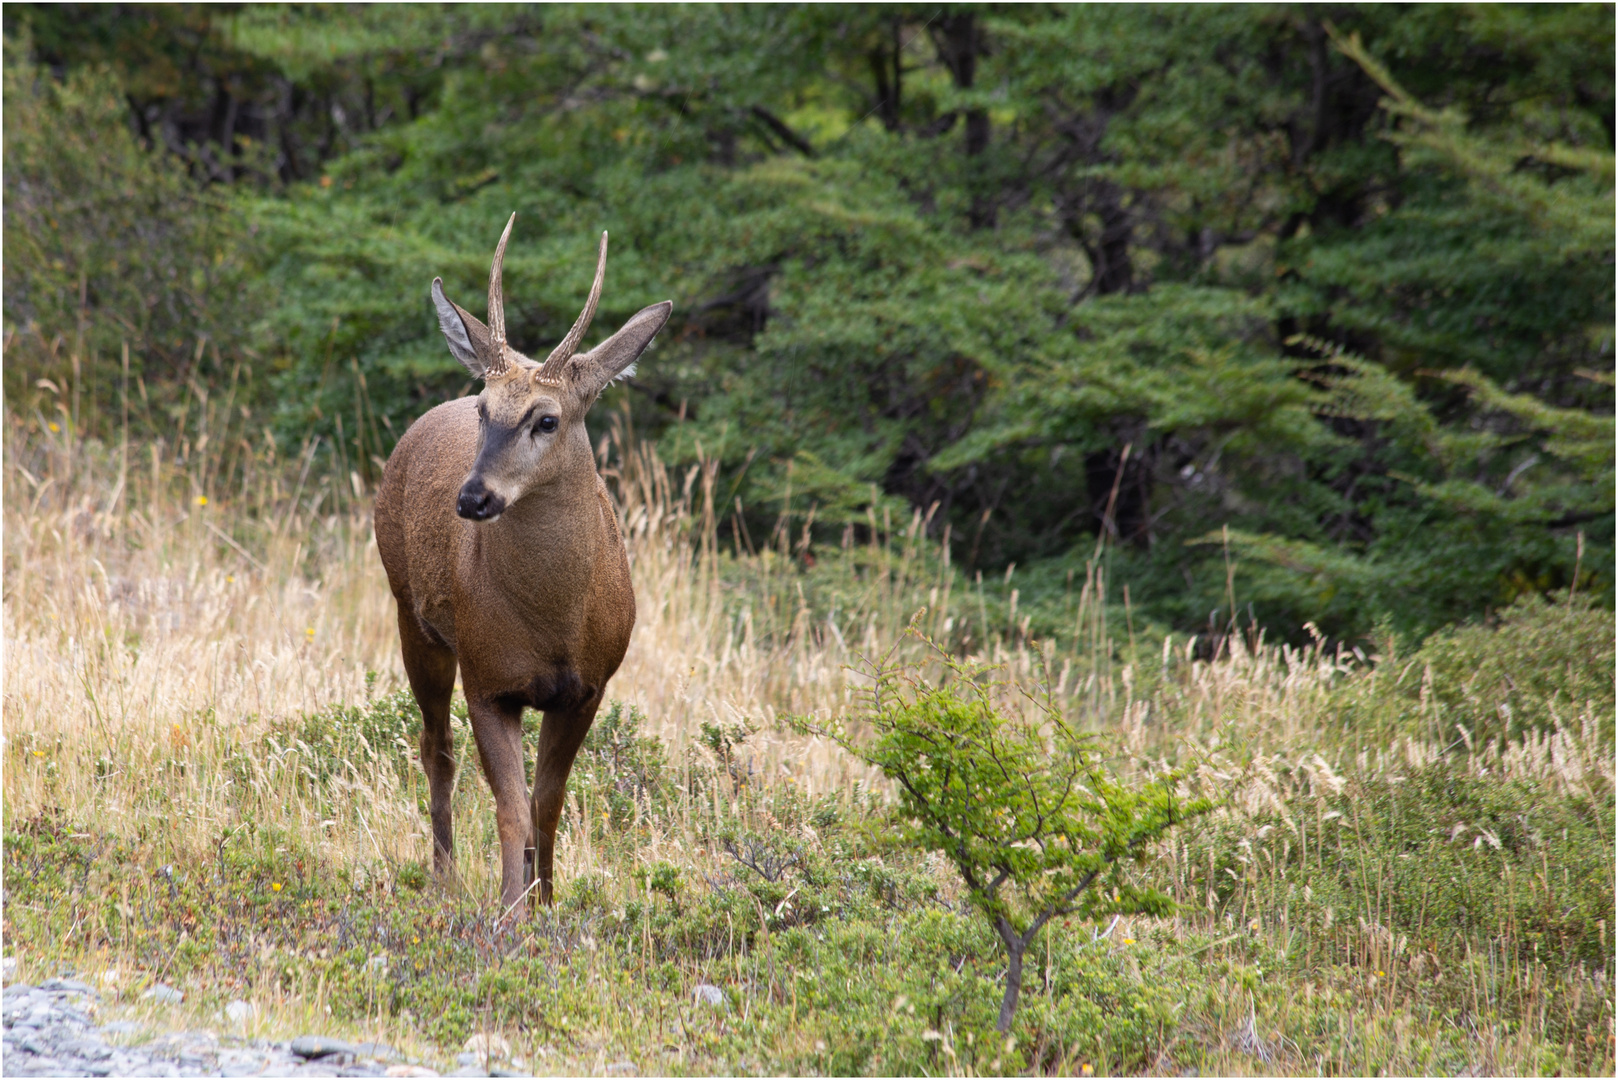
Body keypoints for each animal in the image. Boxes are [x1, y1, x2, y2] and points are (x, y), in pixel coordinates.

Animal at [373, 215, 669, 906]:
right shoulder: (489, 680)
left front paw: (547, 902)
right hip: (412, 619)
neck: (553, 622)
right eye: (485, 410)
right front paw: (509, 908)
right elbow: (509, 807)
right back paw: (444, 878)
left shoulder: (588, 688)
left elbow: (547, 803)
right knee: (436, 748)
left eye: (547, 419)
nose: (472, 497)